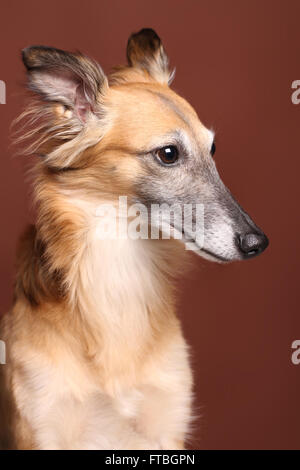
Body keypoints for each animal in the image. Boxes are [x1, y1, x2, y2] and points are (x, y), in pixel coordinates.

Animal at [0, 27, 268, 450]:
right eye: (169, 153)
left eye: (212, 148)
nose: (257, 243)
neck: (119, 267)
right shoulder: (41, 425)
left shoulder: (166, 425)